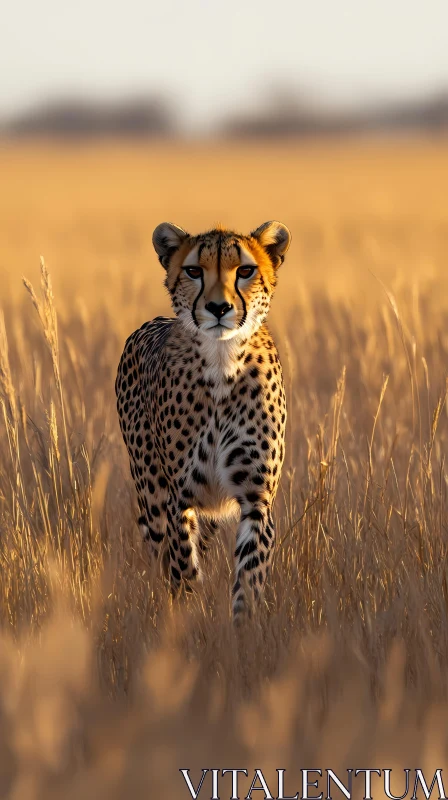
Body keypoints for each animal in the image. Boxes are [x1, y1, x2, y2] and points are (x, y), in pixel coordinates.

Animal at [115, 222, 290, 620]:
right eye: (194, 271)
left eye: (245, 270)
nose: (218, 307)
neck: (222, 358)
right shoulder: (180, 497)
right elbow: (183, 567)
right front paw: (189, 615)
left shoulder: (256, 498)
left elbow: (249, 578)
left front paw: (242, 628)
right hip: (151, 493)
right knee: (161, 552)